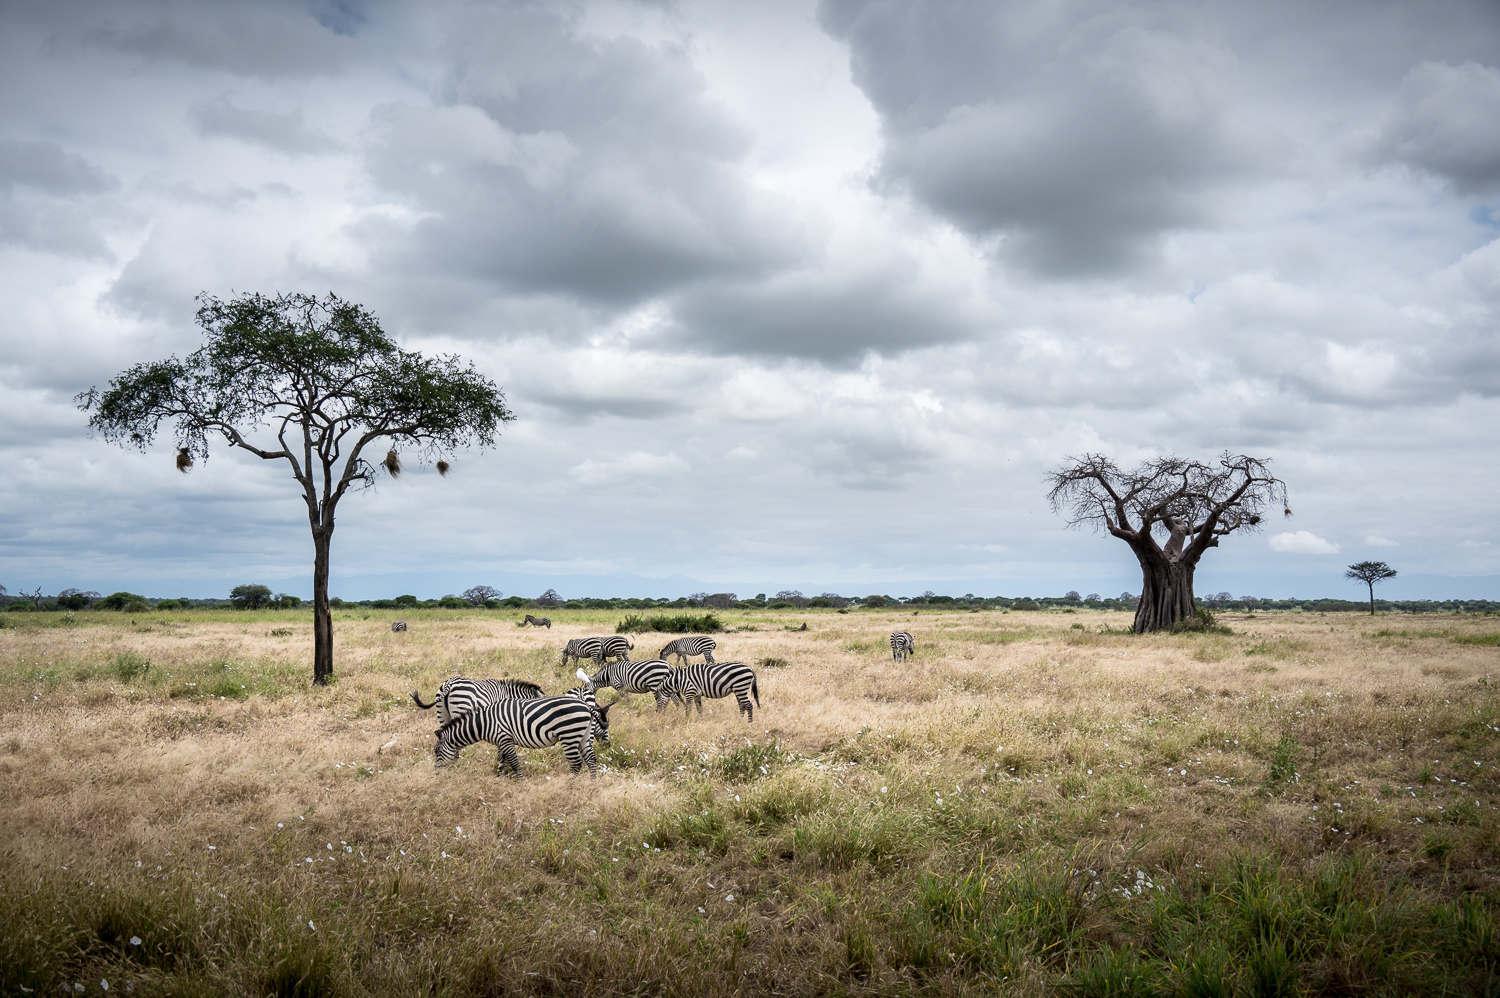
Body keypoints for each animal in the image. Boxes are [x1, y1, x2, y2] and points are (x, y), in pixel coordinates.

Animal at [435, 693, 603, 780]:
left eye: (436, 752)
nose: (436, 774)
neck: (485, 722)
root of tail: (586, 705)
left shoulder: (505, 738)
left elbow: (514, 762)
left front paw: (520, 781)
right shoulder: (501, 741)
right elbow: (502, 761)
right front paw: (500, 779)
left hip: (569, 735)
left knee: (576, 764)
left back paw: (570, 787)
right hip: (584, 736)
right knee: (591, 760)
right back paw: (592, 785)